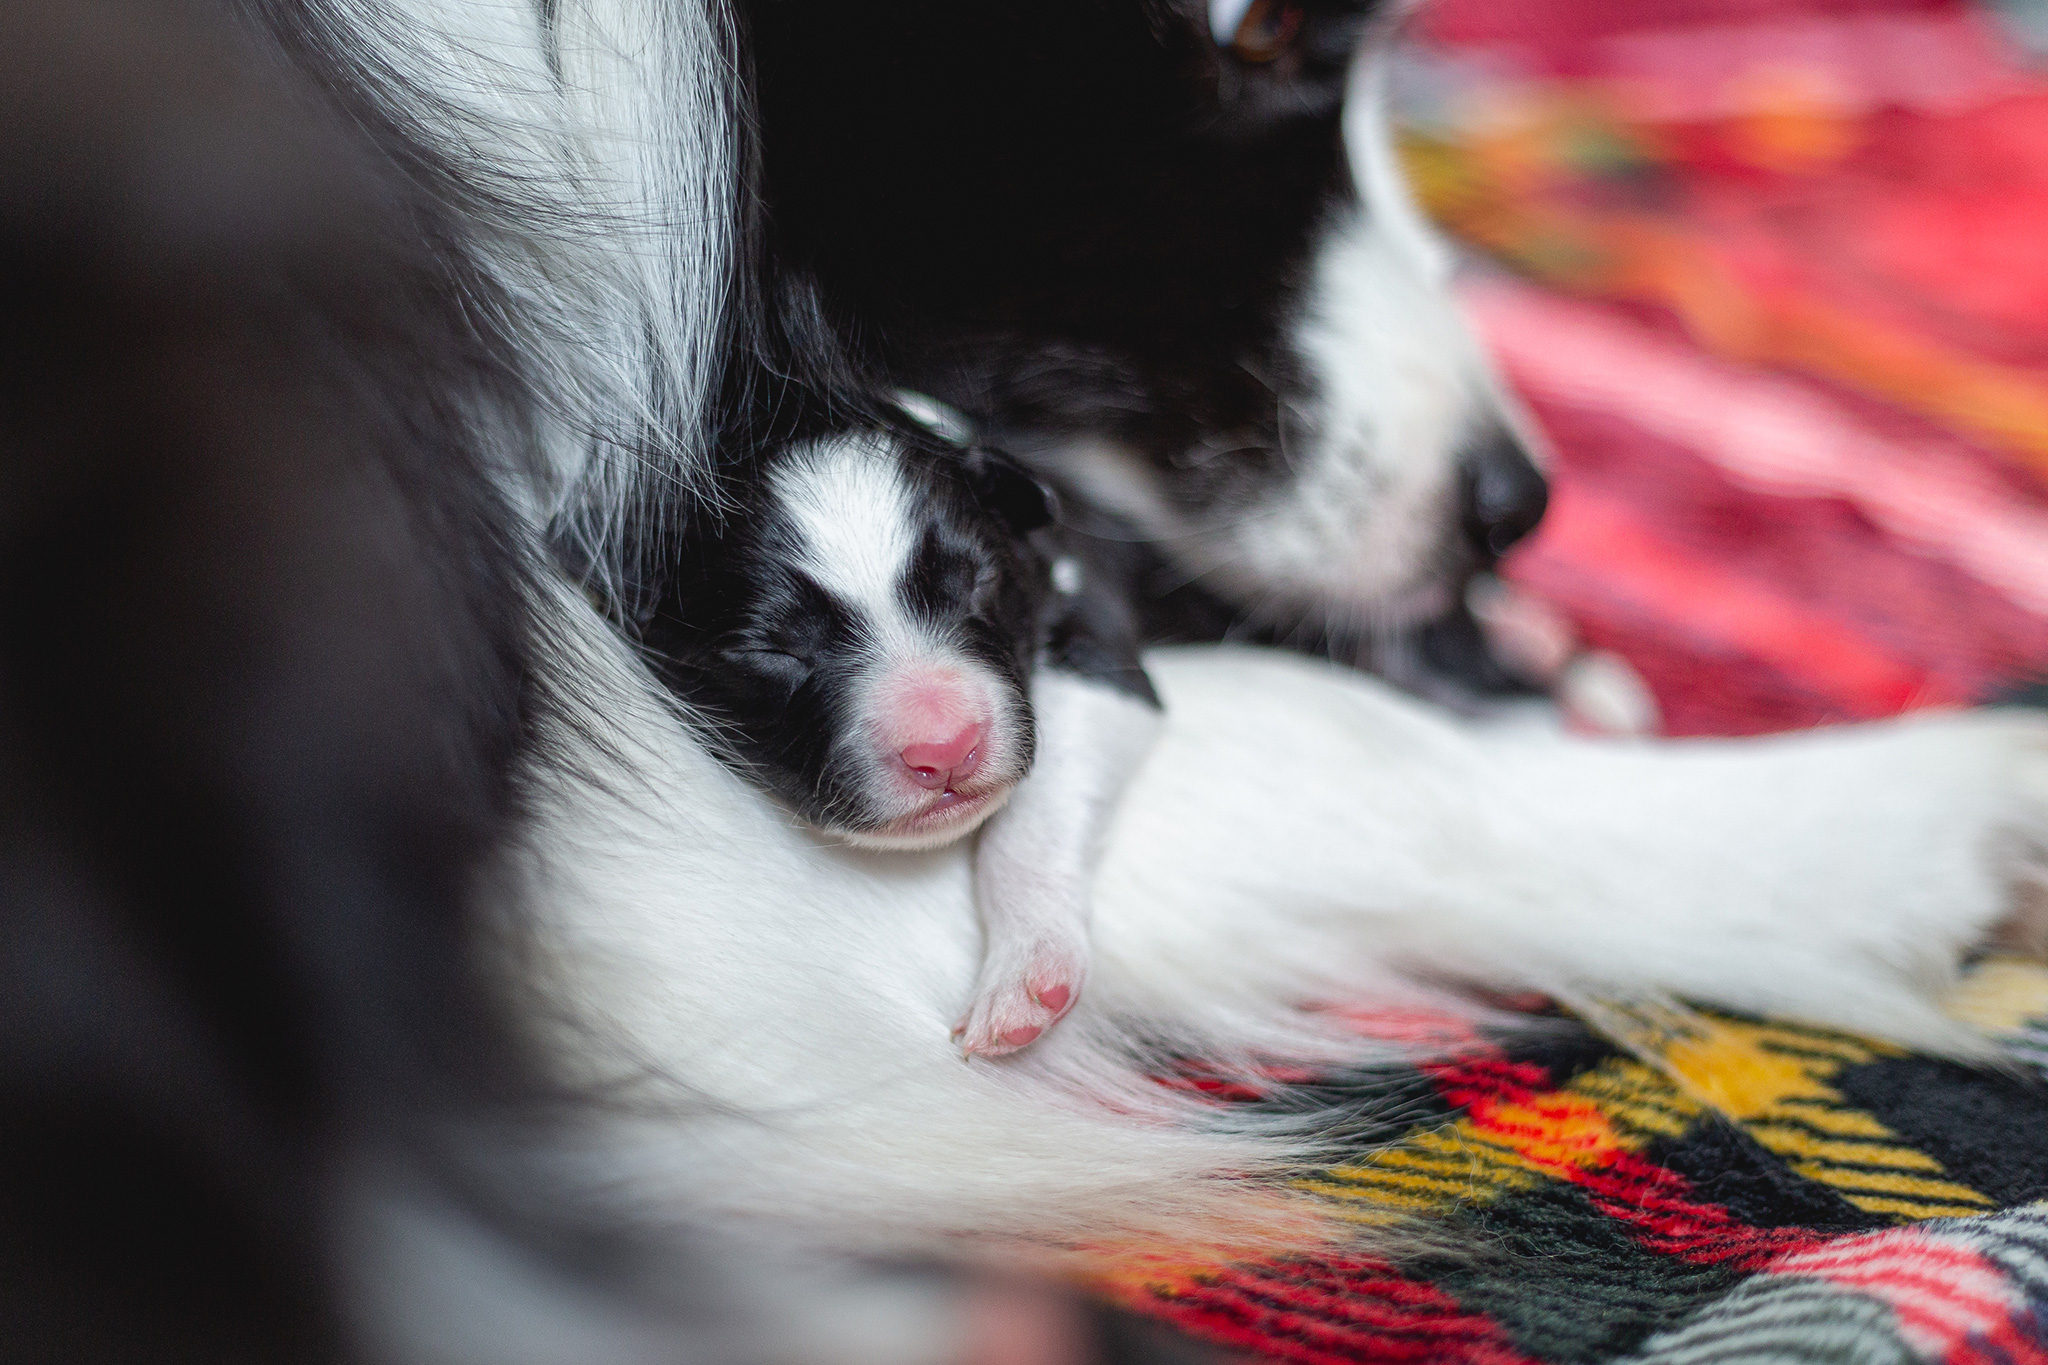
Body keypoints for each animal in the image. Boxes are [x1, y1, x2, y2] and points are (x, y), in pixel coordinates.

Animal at [647, 409, 1163, 1055]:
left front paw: (1025, 969)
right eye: (770, 650)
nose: (946, 750)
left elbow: (1036, 818)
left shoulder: (1097, 651)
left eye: (977, 581)